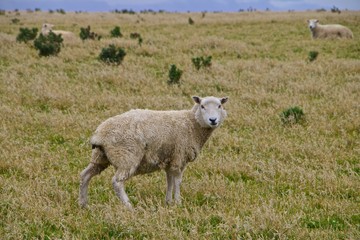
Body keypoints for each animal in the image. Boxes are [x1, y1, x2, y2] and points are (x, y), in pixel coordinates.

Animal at [80, 95, 229, 210]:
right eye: (202, 106)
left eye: (219, 106)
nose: (213, 120)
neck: (191, 123)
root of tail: (99, 135)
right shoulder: (179, 157)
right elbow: (177, 181)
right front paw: (178, 202)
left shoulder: (170, 158)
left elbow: (169, 180)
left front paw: (168, 202)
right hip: (126, 156)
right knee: (117, 182)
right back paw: (129, 206)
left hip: (100, 157)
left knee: (85, 175)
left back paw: (83, 204)